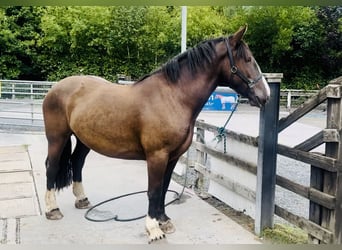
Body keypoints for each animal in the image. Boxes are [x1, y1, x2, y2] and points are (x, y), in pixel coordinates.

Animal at [42, 25, 270, 242]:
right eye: (248, 59)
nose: (265, 96)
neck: (173, 97)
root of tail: (55, 88)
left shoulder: (172, 156)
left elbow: (163, 187)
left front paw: (164, 221)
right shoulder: (157, 155)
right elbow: (153, 190)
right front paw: (153, 229)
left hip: (84, 140)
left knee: (77, 162)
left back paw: (81, 200)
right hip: (57, 138)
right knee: (51, 167)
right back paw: (52, 210)